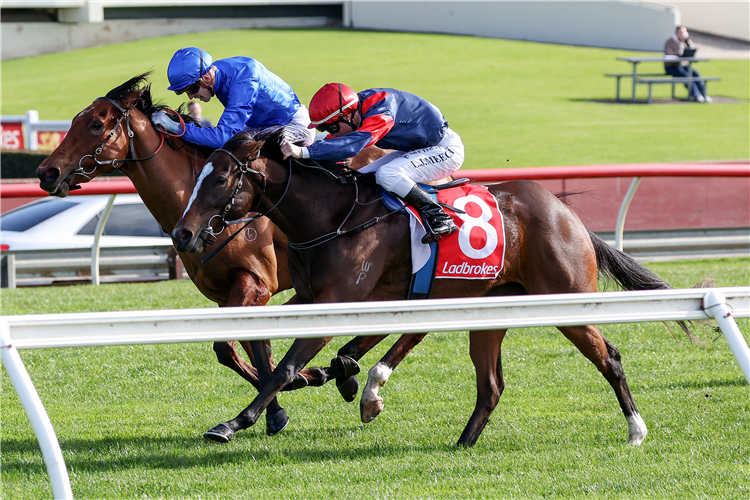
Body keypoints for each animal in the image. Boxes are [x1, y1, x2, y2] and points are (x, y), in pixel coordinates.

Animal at [170, 132, 700, 446]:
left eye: (220, 176)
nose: (182, 234)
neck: (333, 215)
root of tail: (565, 213)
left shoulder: (339, 300)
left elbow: (285, 367)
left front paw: (233, 423)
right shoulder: (320, 297)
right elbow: (305, 355)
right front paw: (341, 378)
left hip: (565, 297)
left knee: (609, 356)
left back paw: (636, 429)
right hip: (489, 310)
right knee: (491, 384)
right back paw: (462, 442)